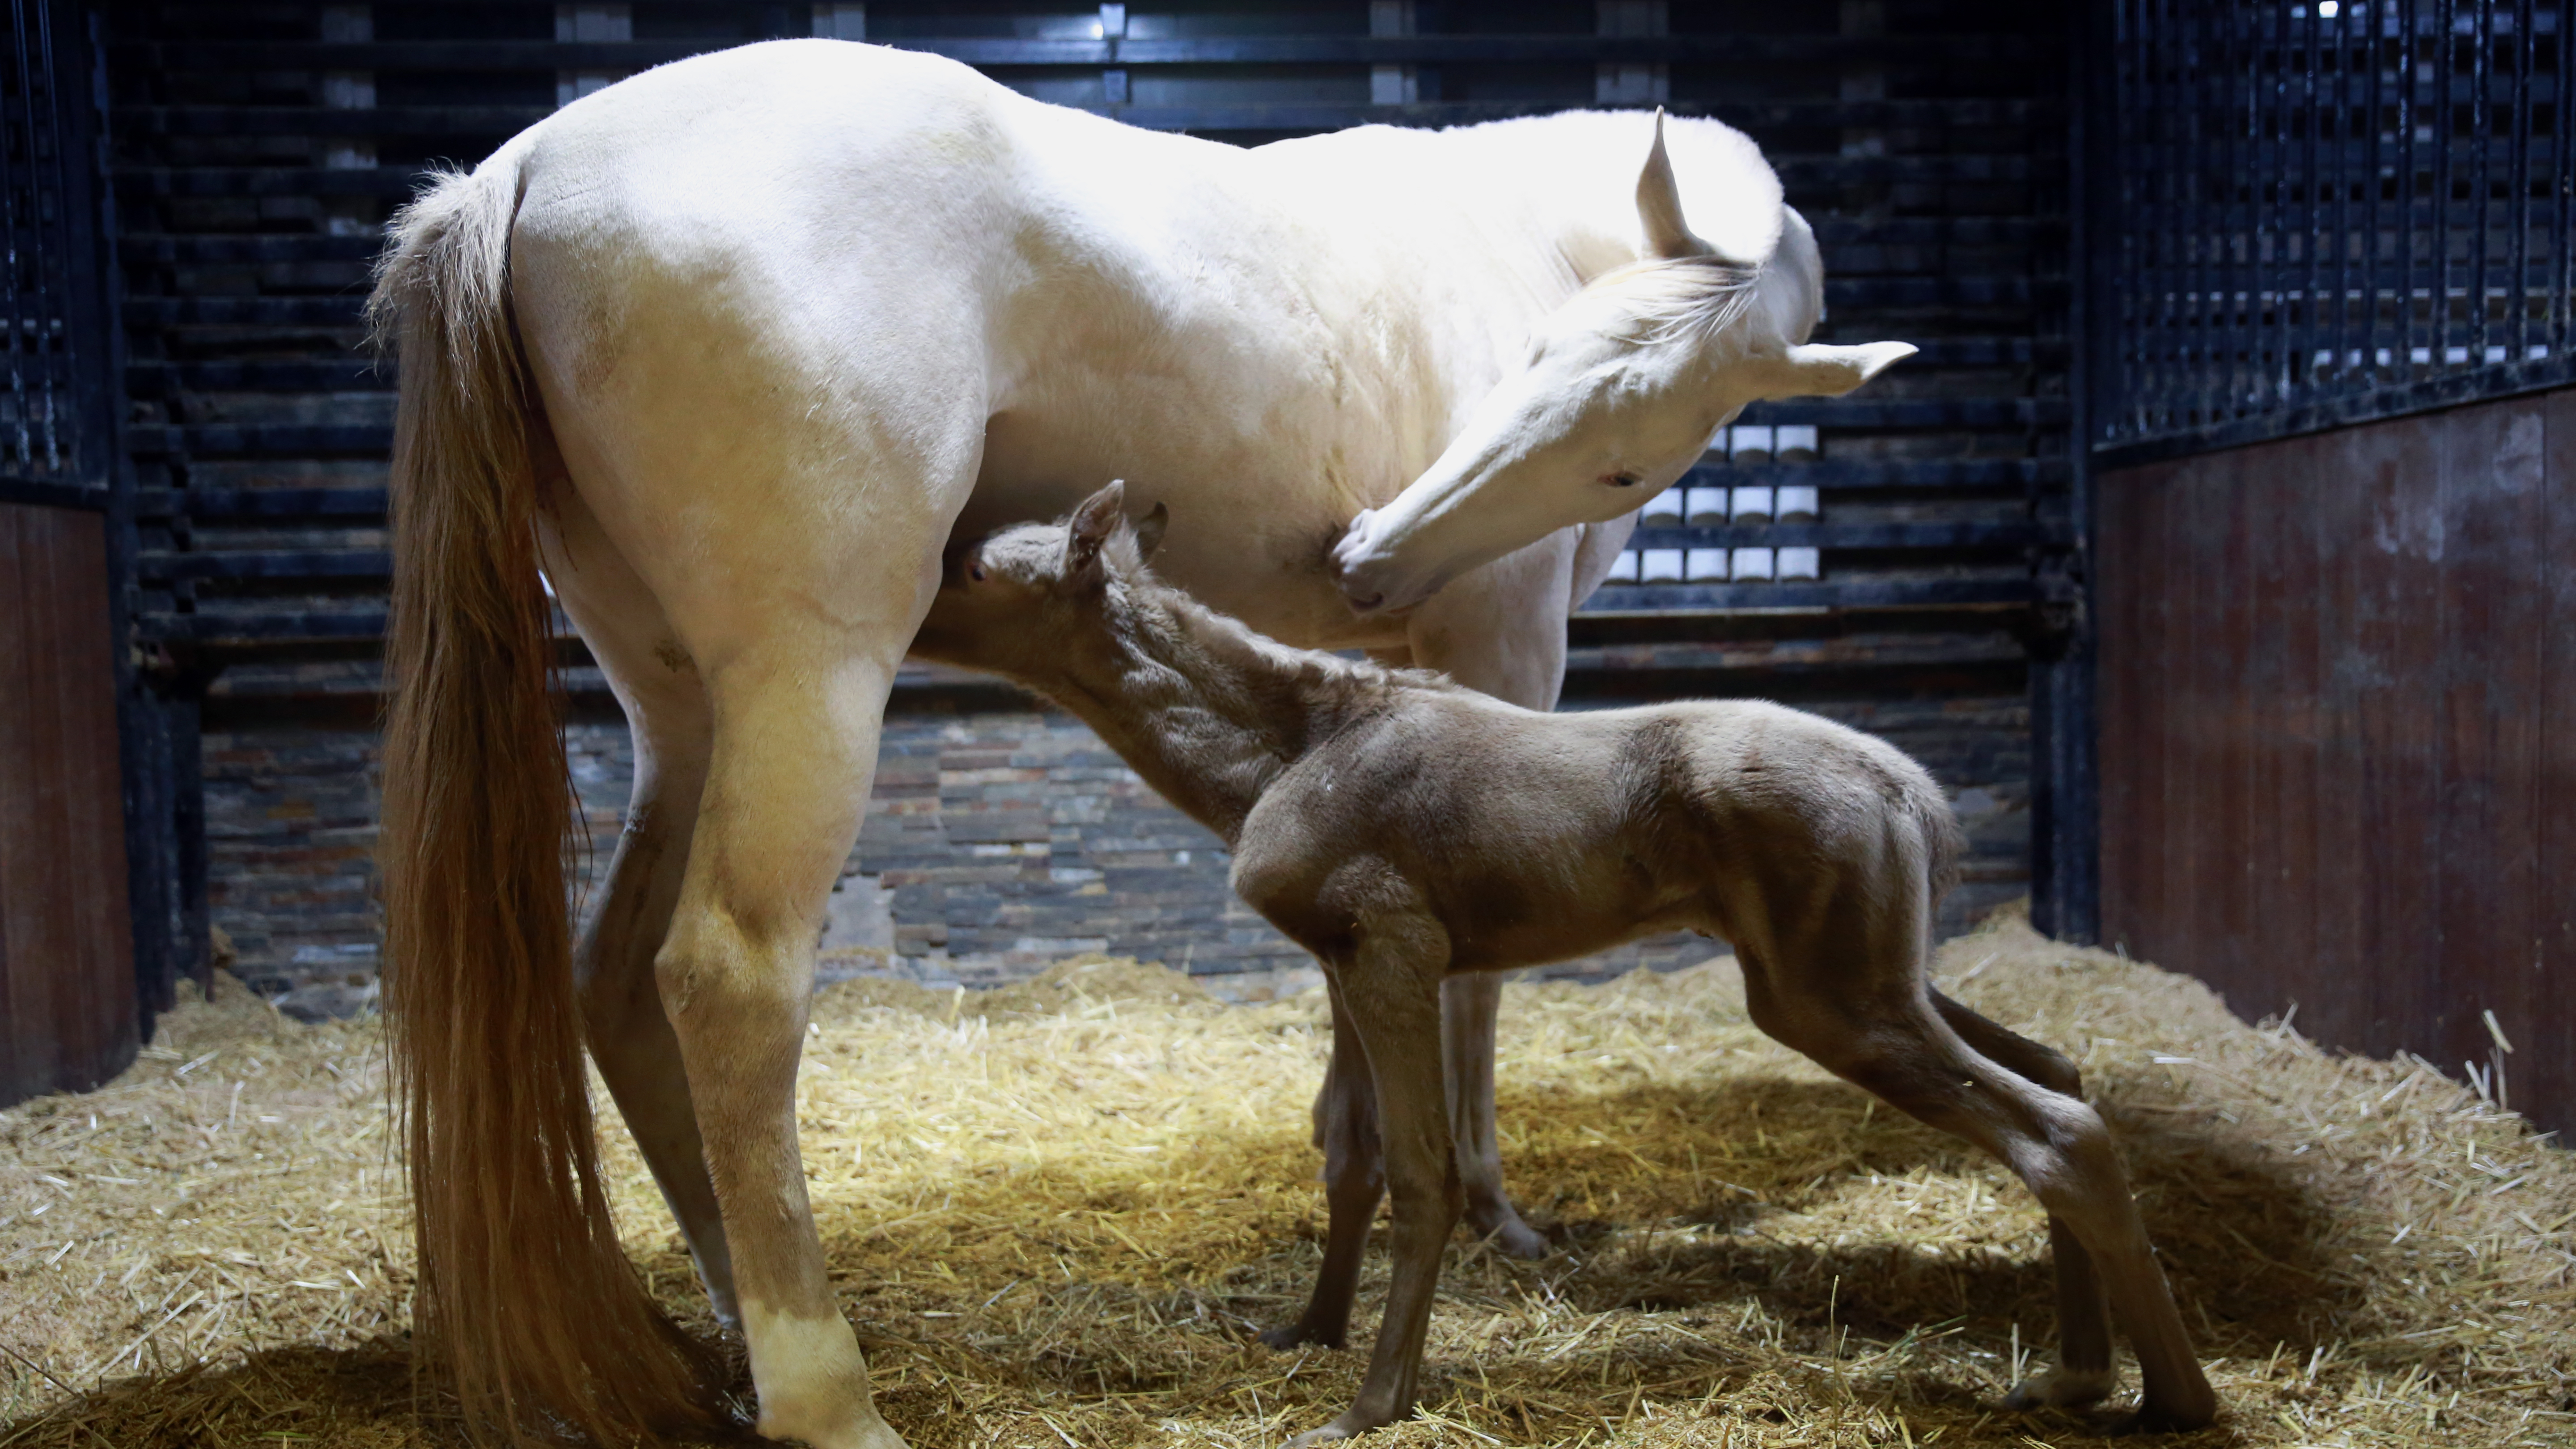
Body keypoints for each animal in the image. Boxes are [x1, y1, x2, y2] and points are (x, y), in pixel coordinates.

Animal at [373, 37, 1916, 1444]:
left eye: (1624, 453)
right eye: (1542, 362)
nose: (1372, 557)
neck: (1526, 224)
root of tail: (522, 173)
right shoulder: (1504, 649)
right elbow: (1480, 974)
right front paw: (1491, 1212)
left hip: (682, 708)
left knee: (617, 980)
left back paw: (730, 1337)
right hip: (808, 687)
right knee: (727, 982)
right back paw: (825, 1393)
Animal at [922, 482, 2215, 1433]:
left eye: (980, 568)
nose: (912, 599)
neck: (1257, 769)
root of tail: (1919, 801)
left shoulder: (1397, 940)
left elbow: (1425, 1169)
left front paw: (1372, 1403)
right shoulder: (1342, 953)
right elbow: (1346, 1150)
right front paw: (1305, 1333)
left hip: (1824, 992)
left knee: (2058, 1127)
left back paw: (2175, 1396)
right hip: (1863, 970)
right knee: (2058, 1067)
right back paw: (2077, 1373)